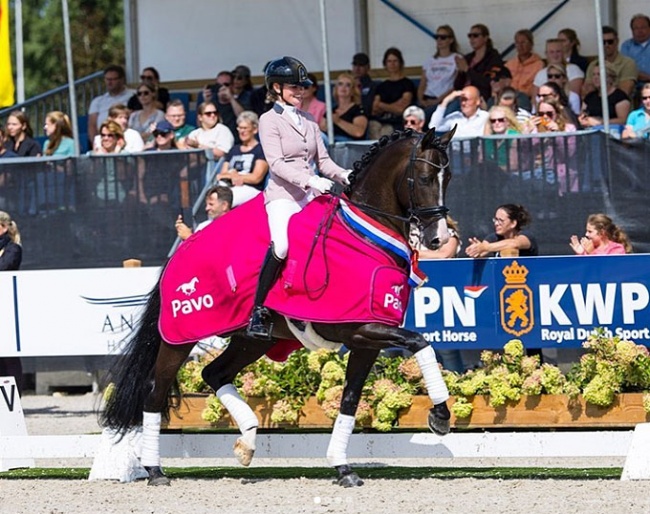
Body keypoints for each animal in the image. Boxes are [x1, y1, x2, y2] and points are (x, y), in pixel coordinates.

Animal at [100, 126, 456, 486]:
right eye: (425, 178)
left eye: (449, 177)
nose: (438, 238)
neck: (365, 235)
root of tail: (178, 254)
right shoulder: (361, 328)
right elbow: (420, 342)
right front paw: (440, 415)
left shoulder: (365, 339)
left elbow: (350, 400)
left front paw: (343, 467)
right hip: (180, 337)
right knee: (155, 392)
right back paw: (155, 470)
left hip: (251, 340)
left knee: (214, 372)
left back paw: (247, 440)